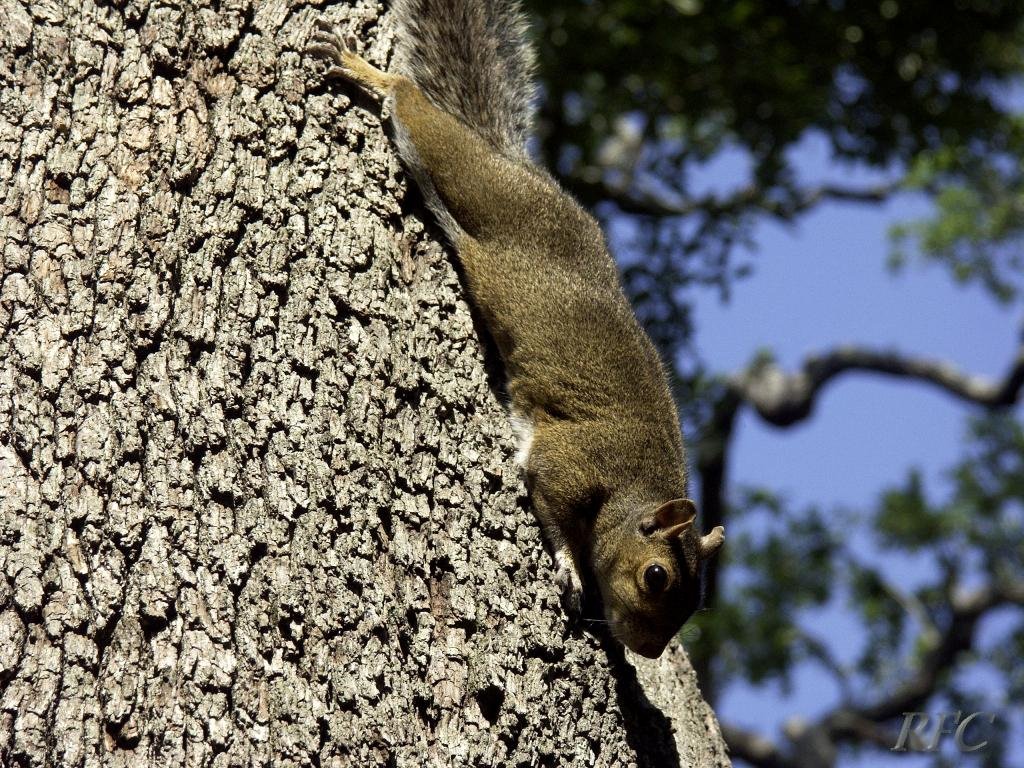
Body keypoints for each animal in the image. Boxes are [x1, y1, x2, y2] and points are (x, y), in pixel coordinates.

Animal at [307, 1, 724, 663]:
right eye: (656, 576)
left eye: (696, 604)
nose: (650, 651)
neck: (632, 484)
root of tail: (517, 167)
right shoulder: (568, 462)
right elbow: (549, 504)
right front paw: (571, 570)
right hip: (477, 184)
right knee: (414, 107)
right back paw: (363, 68)